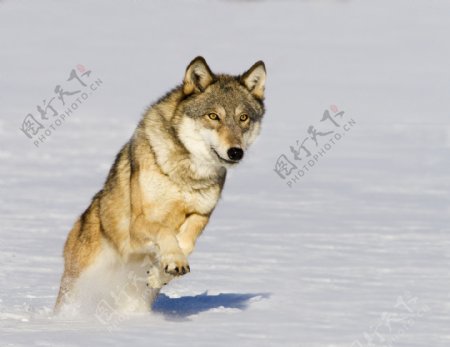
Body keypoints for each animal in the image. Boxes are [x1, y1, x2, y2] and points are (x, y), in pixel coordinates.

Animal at [55, 57, 268, 316]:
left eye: (243, 118)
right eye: (213, 116)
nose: (236, 152)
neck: (185, 175)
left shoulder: (201, 215)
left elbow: (186, 243)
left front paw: (161, 273)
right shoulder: (137, 226)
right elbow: (164, 231)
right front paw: (173, 261)